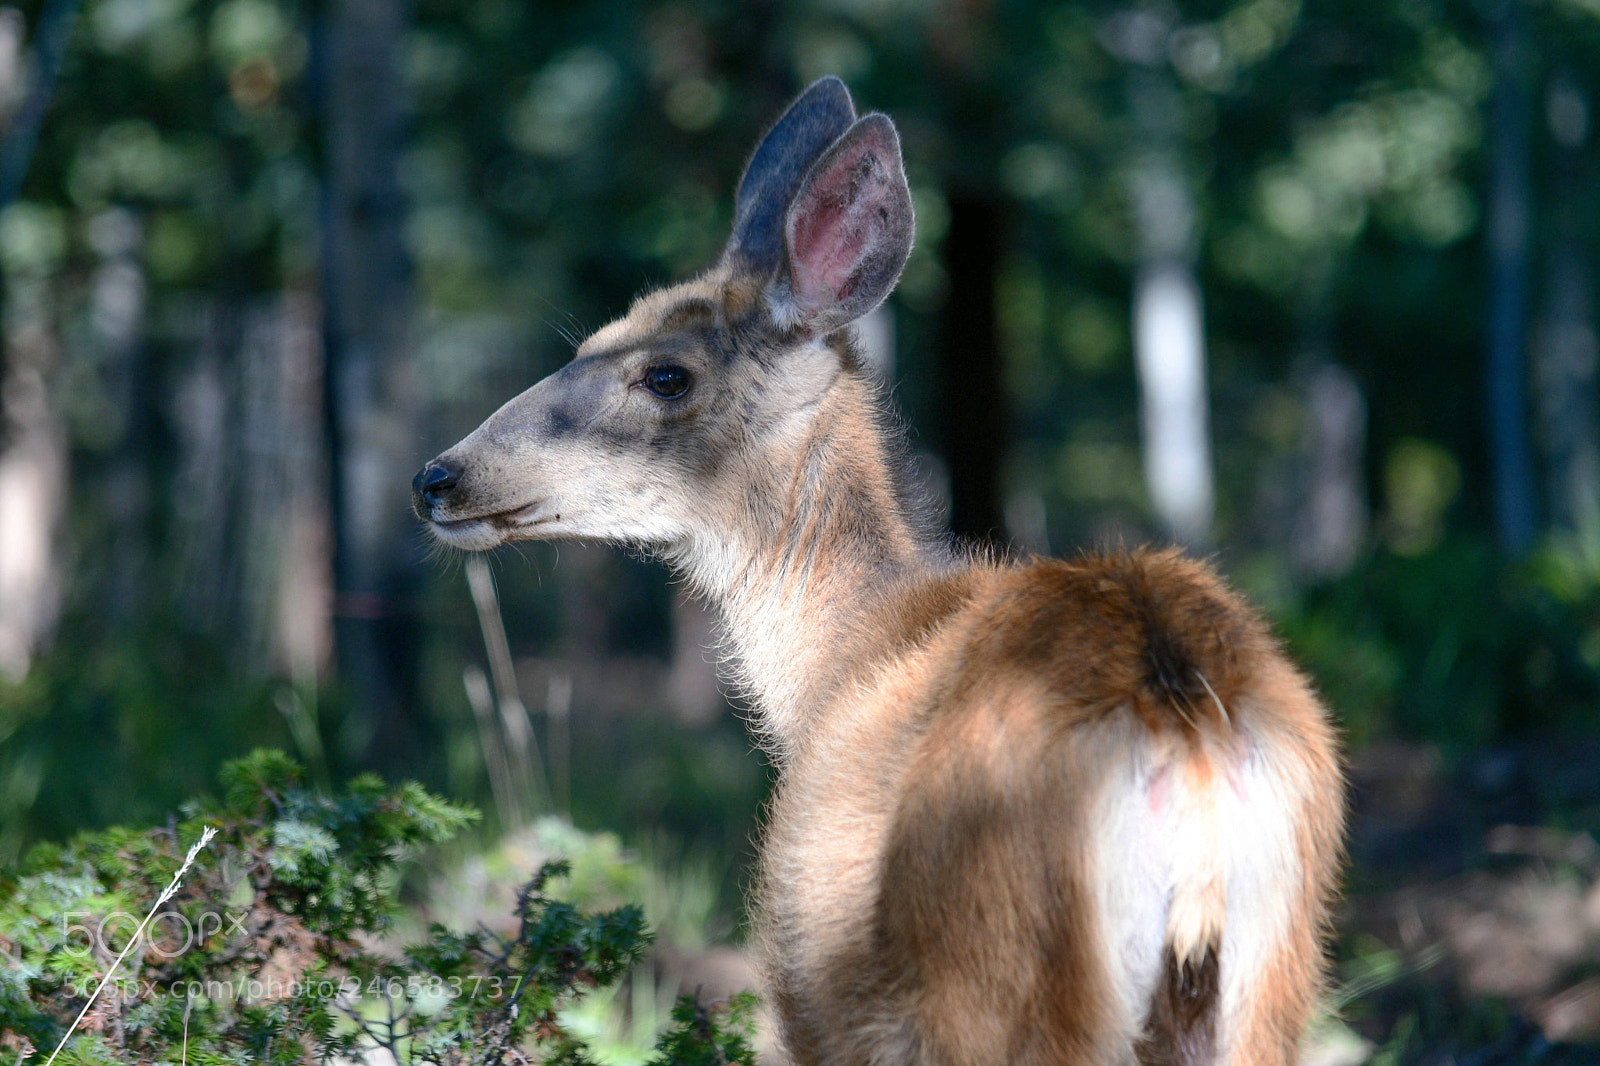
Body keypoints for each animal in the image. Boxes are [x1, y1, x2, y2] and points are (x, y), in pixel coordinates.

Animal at [413, 77, 1345, 1066]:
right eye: (590, 337)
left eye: (665, 376)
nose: (438, 477)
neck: (840, 659)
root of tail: (1181, 737)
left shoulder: (810, 988)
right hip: (1268, 982)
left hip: (989, 975)